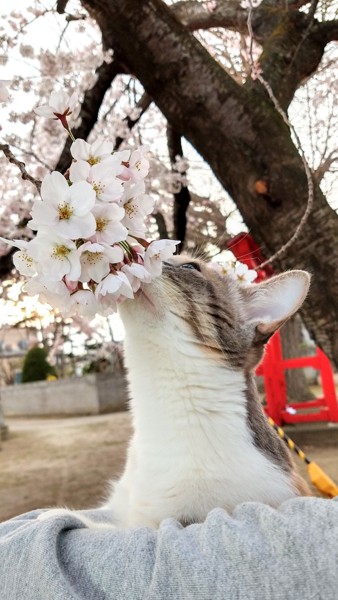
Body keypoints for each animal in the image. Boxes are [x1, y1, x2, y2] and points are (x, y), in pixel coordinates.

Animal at [38, 255, 310, 528]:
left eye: (190, 266)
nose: (139, 256)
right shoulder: (120, 504)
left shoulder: (180, 519)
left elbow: (105, 528)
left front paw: (55, 515)